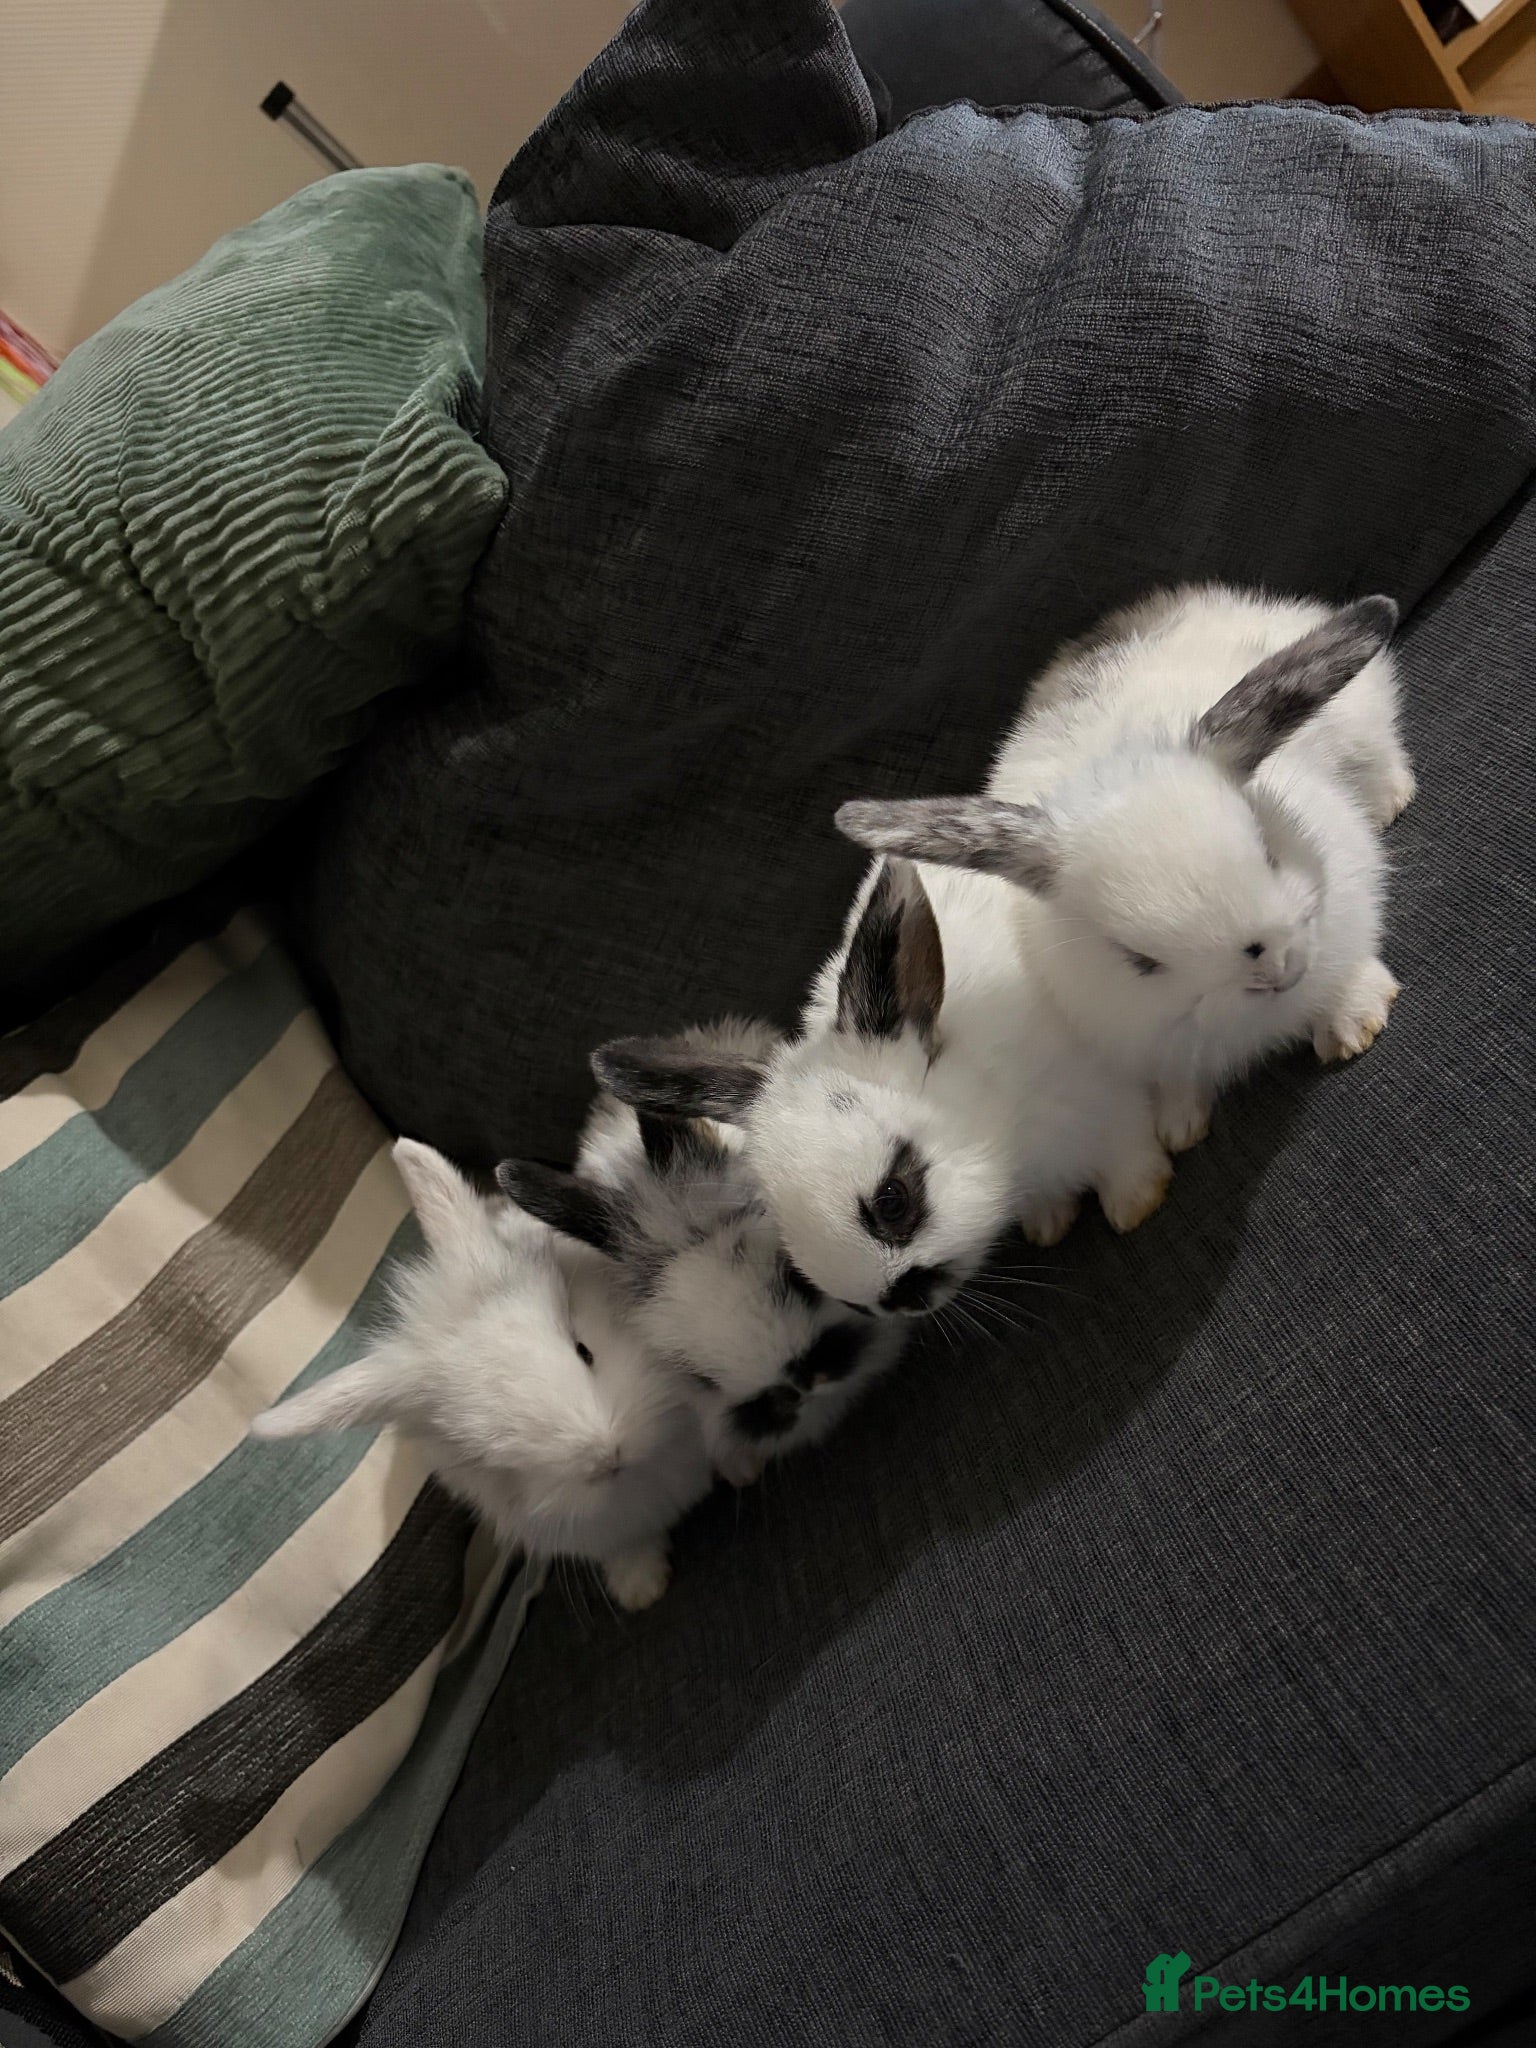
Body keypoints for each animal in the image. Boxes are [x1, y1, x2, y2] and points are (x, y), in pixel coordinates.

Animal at [591, 854, 1171, 1314]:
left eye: (893, 1201)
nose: (889, 1303)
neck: (1004, 1118)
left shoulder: (1102, 1092)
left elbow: (1127, 1144)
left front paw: (1135, 1204)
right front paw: (1049, 1224)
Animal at [835, 586, 1410, 1160]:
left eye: (1268, 851)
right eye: (1139, 960)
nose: (1279, 970)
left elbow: (1342, 971)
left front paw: (1353, 1023)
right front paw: (1178, 1128)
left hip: (1361, 721)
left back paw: (1390, 800)